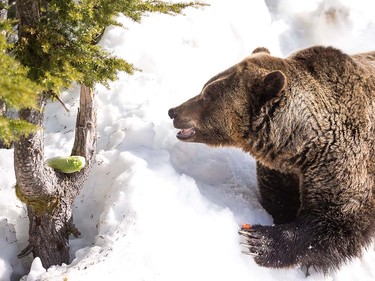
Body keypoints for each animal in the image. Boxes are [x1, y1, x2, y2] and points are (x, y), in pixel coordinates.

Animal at [170, 45, 375, 272]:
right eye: (205, 87)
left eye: (207, 94)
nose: (173, 112)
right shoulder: (282, 170)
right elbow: (279, 200)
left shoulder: (341, 159)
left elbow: (336, 217)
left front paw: (257, 241)